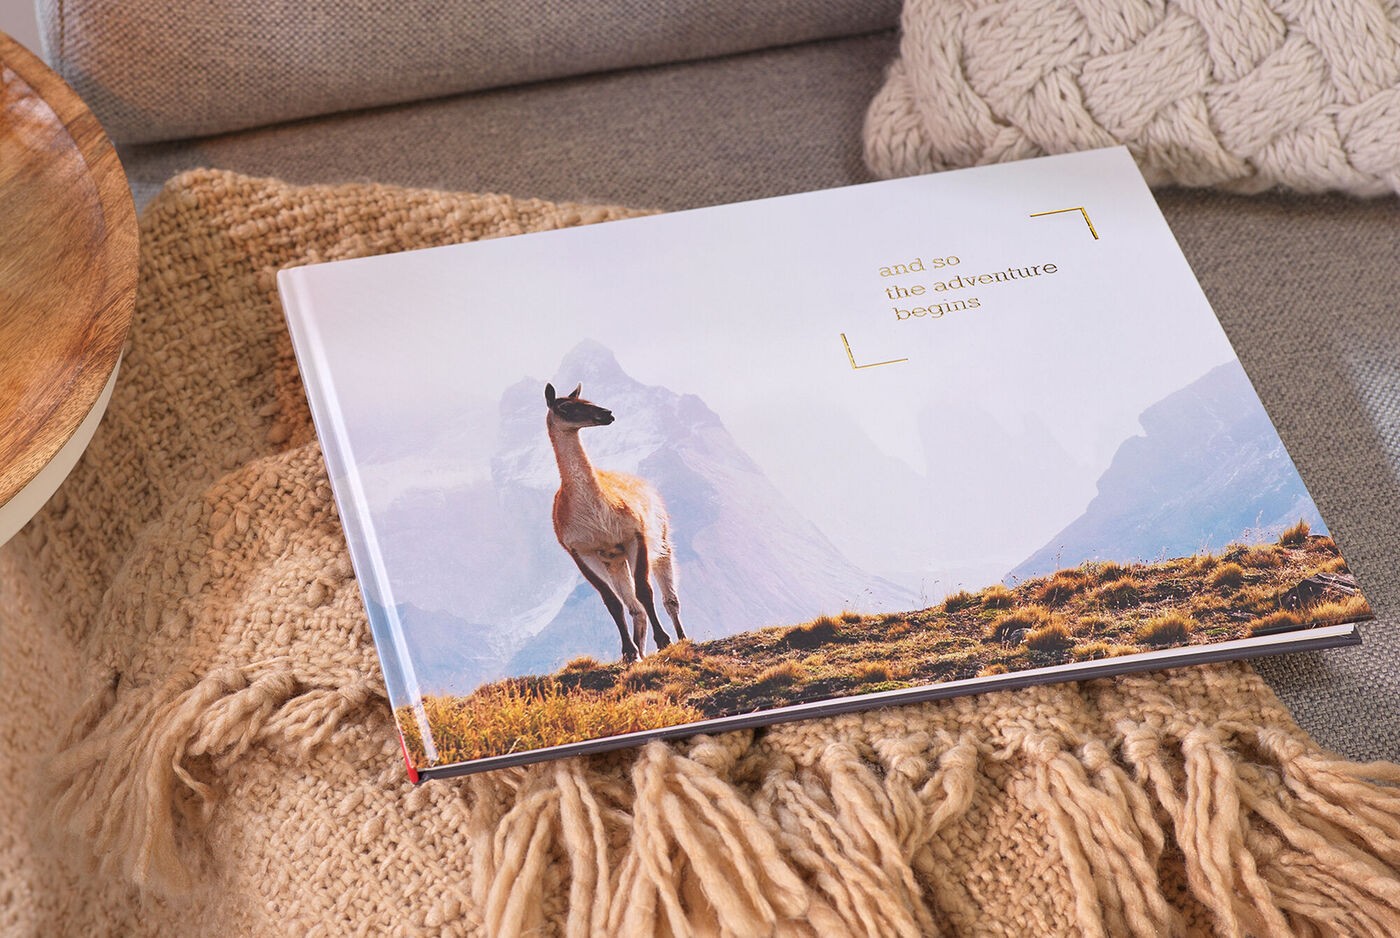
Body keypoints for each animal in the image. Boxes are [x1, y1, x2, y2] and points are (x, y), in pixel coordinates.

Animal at [545, 382, 686, 662]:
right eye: (565, 406)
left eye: (587, 400)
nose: (606, 413)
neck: (596, 511)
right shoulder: (582, 551)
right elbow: (612, 602)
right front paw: (628, 651)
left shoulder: (634, 534)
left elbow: (645, 591)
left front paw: (663, 640)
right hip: (615, 562)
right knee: (634, 608)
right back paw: (639, 651)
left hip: (660, 542)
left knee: (669, 598)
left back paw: (682, 638)